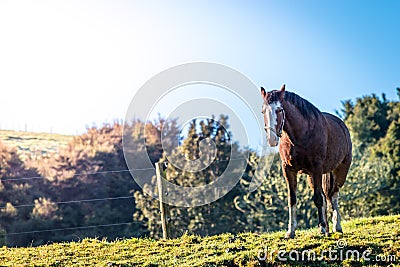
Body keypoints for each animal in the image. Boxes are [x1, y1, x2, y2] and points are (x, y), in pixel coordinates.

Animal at [260, 85, 352, 240]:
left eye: (279, 110)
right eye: (263, 111)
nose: (271, 139)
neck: (300, 135)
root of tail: (342, 125)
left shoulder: (317, 168)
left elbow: (318, 199)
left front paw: (322, 229)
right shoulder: (288, 170)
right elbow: (292, 199)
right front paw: (290, 231)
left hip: (340, 170)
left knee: (333, 196)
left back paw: (336, 226)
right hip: (313, 177)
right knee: (326, 196)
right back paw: (327, 227)